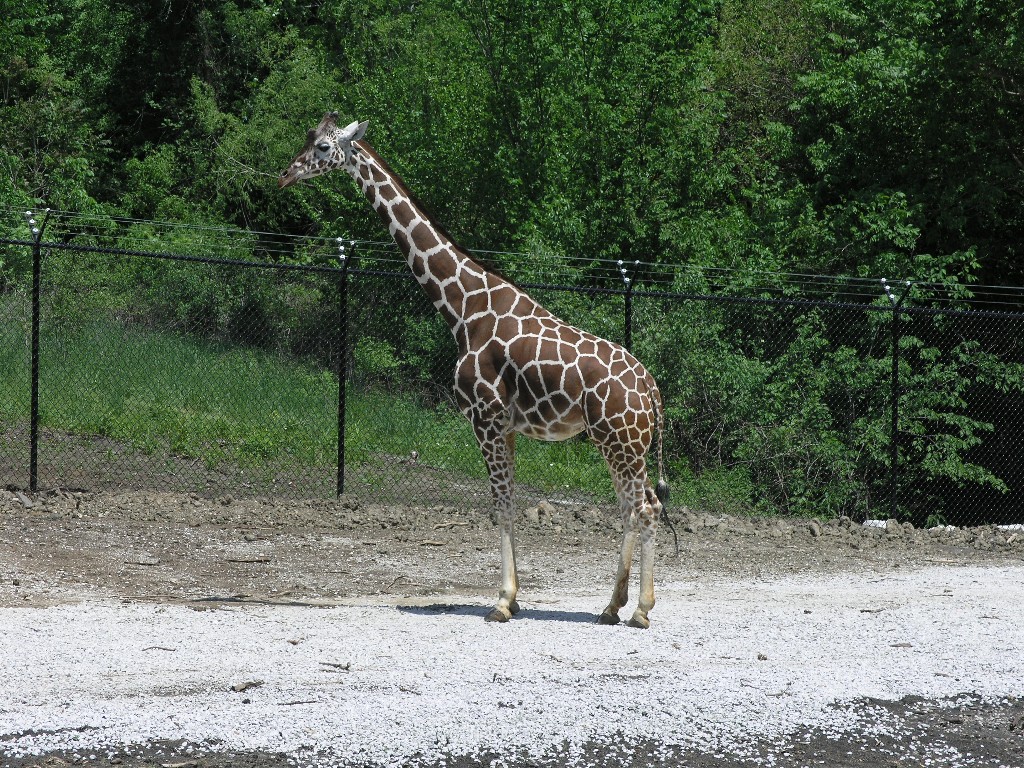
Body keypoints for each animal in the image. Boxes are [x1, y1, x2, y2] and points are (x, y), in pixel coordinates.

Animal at [279, 113, 669, 628]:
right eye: (308, 140)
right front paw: (514, 598)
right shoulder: (506, 426)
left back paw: (640, 611)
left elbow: (501, 509)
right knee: (632, 507)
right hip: (619, 443)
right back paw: (610, 607)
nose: (286, 175)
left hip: (622, 442)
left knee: (645, 508)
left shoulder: (485, 418)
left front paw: (502, 602)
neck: (462, 309)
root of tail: (652, 389)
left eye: (323, 147)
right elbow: (508, 506)